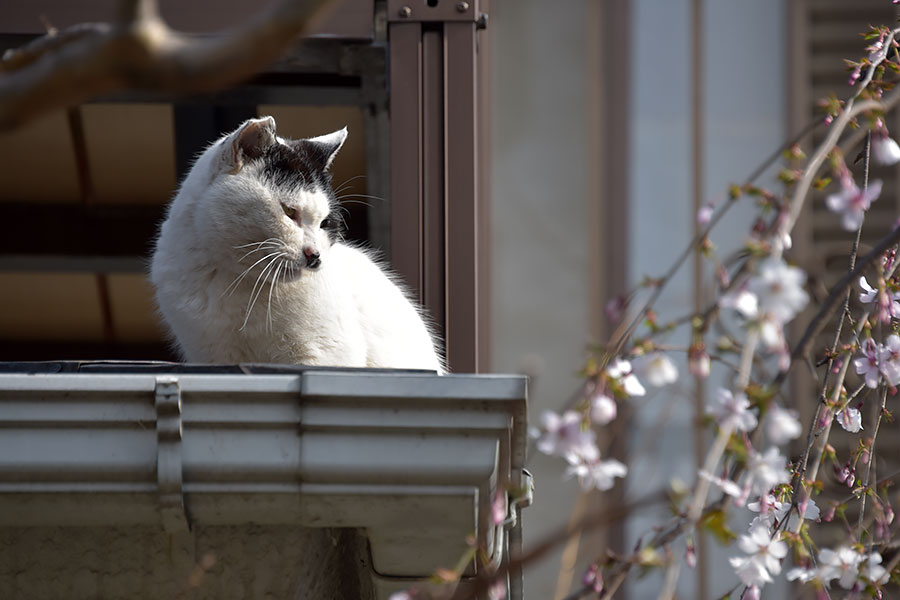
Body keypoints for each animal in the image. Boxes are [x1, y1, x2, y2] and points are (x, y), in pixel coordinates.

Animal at [152, 115, 446, 372]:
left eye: (325, 223)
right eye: (289, 212)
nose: (315, 255)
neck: (236, 282)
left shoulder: (325, 355)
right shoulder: (213, 355)